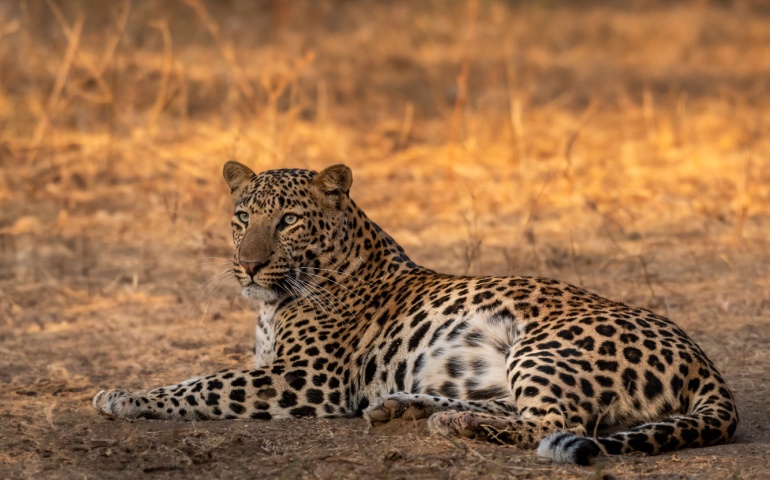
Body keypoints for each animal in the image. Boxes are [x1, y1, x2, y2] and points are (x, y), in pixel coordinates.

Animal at [93, 161, 736, 464]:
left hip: (543, 347)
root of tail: (705, 363)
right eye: (242, 217)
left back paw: (446, 422)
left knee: (557, 425)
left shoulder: (306, 378)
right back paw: (406, 408)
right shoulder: (276, 366)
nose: (247, 267)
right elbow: (206, 377)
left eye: (289, 220)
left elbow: (202, 384)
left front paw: (123, 395)